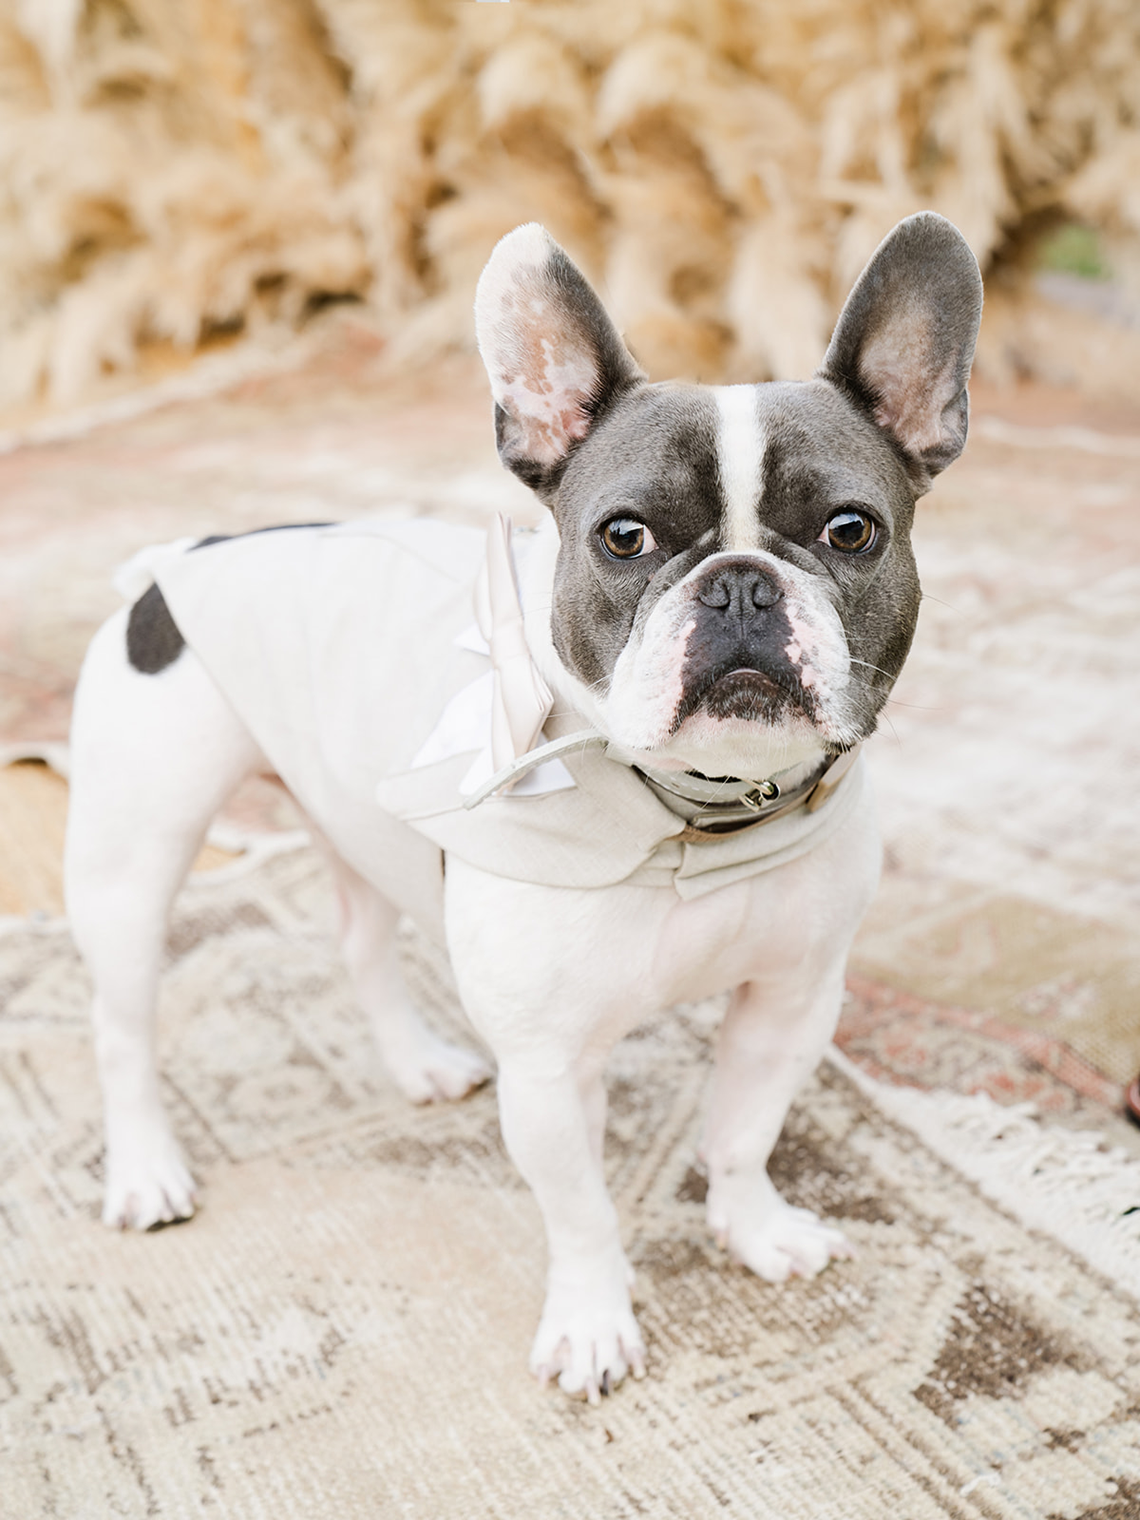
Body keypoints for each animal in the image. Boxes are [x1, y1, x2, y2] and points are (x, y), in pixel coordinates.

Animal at [66, 211, 984, 1398]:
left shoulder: (790, 1002)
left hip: (349, 812)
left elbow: (742, 1133)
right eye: (625, 536)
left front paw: (755, 1229)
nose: (739, 582)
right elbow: (582, 1207)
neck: (698, 822)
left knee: (361, 940)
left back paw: (413, 1063)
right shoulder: (551, 1067)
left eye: (850, 531)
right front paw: (593, 1323)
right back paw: (145, 1170)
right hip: (131, 866)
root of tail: (192, 551)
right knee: (123, 1025)